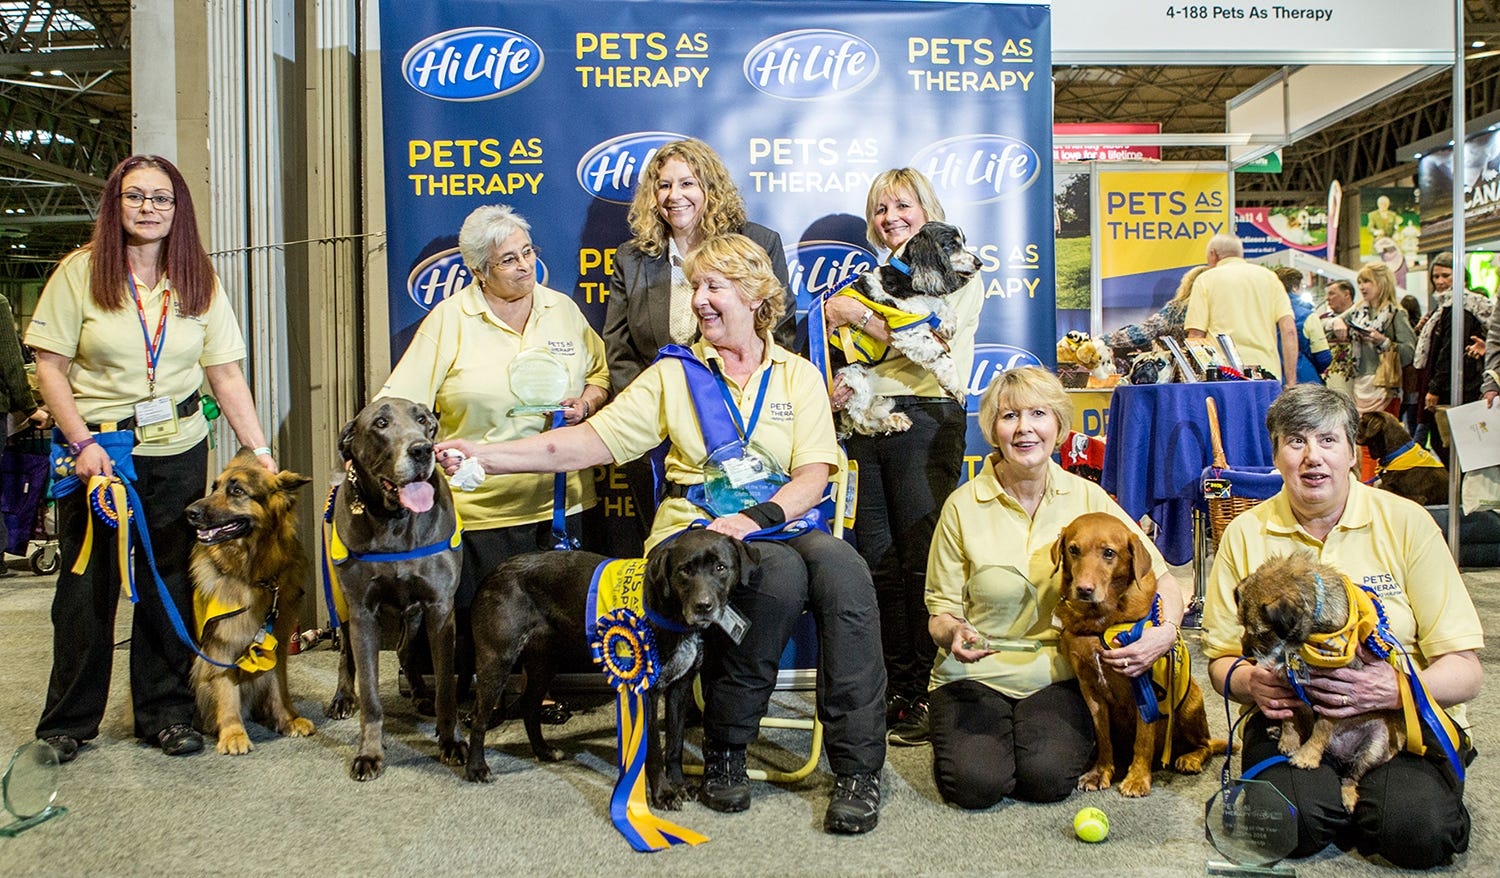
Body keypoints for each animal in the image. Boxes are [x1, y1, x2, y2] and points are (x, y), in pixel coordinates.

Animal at [187, 447, 316, 750]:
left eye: (237, 490)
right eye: (215, 487)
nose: (190, 512)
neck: (255, 573)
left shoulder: (277, 640)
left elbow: (279, 685)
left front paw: (288, 719)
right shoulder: (221, 643)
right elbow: (226, 690)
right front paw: (233, 733)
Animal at [1050, 510, 1224, 798]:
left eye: (1109, 552)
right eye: (1073, 550)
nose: (1084, 589)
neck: (1100, 621)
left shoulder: (1145, 686)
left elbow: (1143, 739)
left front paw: (1137, 779)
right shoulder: (1091, 690)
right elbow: (1103, 737)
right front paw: (1101, 771)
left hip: (1191, 703)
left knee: (1206, 744)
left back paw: (1189, 758)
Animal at [1230, 555, 1404, 810]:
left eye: (1262, 633)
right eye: (1242, 625)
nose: (1245, 653)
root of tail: (1338, 753)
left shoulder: (1337, 693)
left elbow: (1322, 728)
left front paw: (1307, 756)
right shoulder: (1287, 681)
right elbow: (1289, 715)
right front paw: (1289, 739)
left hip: (1376, 742)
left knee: (1352, 774)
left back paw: (1348, 795)